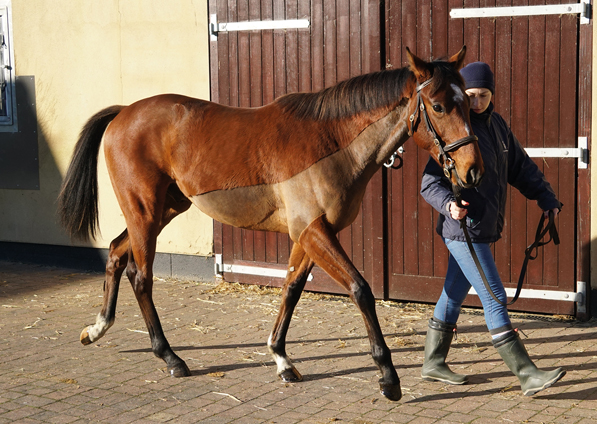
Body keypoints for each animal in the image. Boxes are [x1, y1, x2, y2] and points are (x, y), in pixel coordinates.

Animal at [58, 47, 482, 400]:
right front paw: (388, 377)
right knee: (141, 276)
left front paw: (281, 359)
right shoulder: (314, 232)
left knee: (116, 252)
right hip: (144, 211)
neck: (331, 140)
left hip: (164, 209)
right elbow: (360, 290)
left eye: (468, 103)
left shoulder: (309, 235)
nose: (472, 170)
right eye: (439, 106)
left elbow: (291, 289)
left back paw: (97, 328)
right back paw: (171, 358)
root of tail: (123, 112)